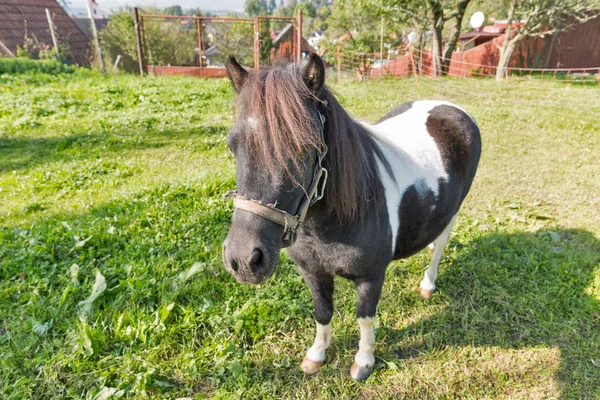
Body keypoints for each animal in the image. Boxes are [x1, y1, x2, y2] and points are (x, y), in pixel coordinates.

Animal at [221, 54, 482, 382]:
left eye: (305, 148)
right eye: (233, 144)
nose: (243, 259)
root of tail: (453, 108)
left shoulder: (370, 277)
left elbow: (365, 318)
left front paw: (364, 361)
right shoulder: (313, 272)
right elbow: (322, 313)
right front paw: (316, 355)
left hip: (453, 213)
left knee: (439, 246)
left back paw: (427, 285)